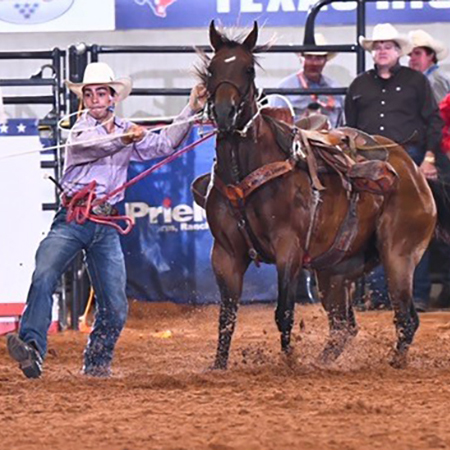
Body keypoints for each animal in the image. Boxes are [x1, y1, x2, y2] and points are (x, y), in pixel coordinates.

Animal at [195, 21, 448, 370]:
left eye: (248, 68)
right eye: (212, 68)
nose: (224, 112)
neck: (246, 170)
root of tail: (416, 175)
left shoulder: (288, 247)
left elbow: (284, 312)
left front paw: (289, 362)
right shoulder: (225, 254)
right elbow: (227, 316)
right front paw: (218, 366)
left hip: (399, 254)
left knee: (406, 318)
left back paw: (394, 362)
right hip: (334, 272)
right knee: (344, 327)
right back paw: (322, 363)